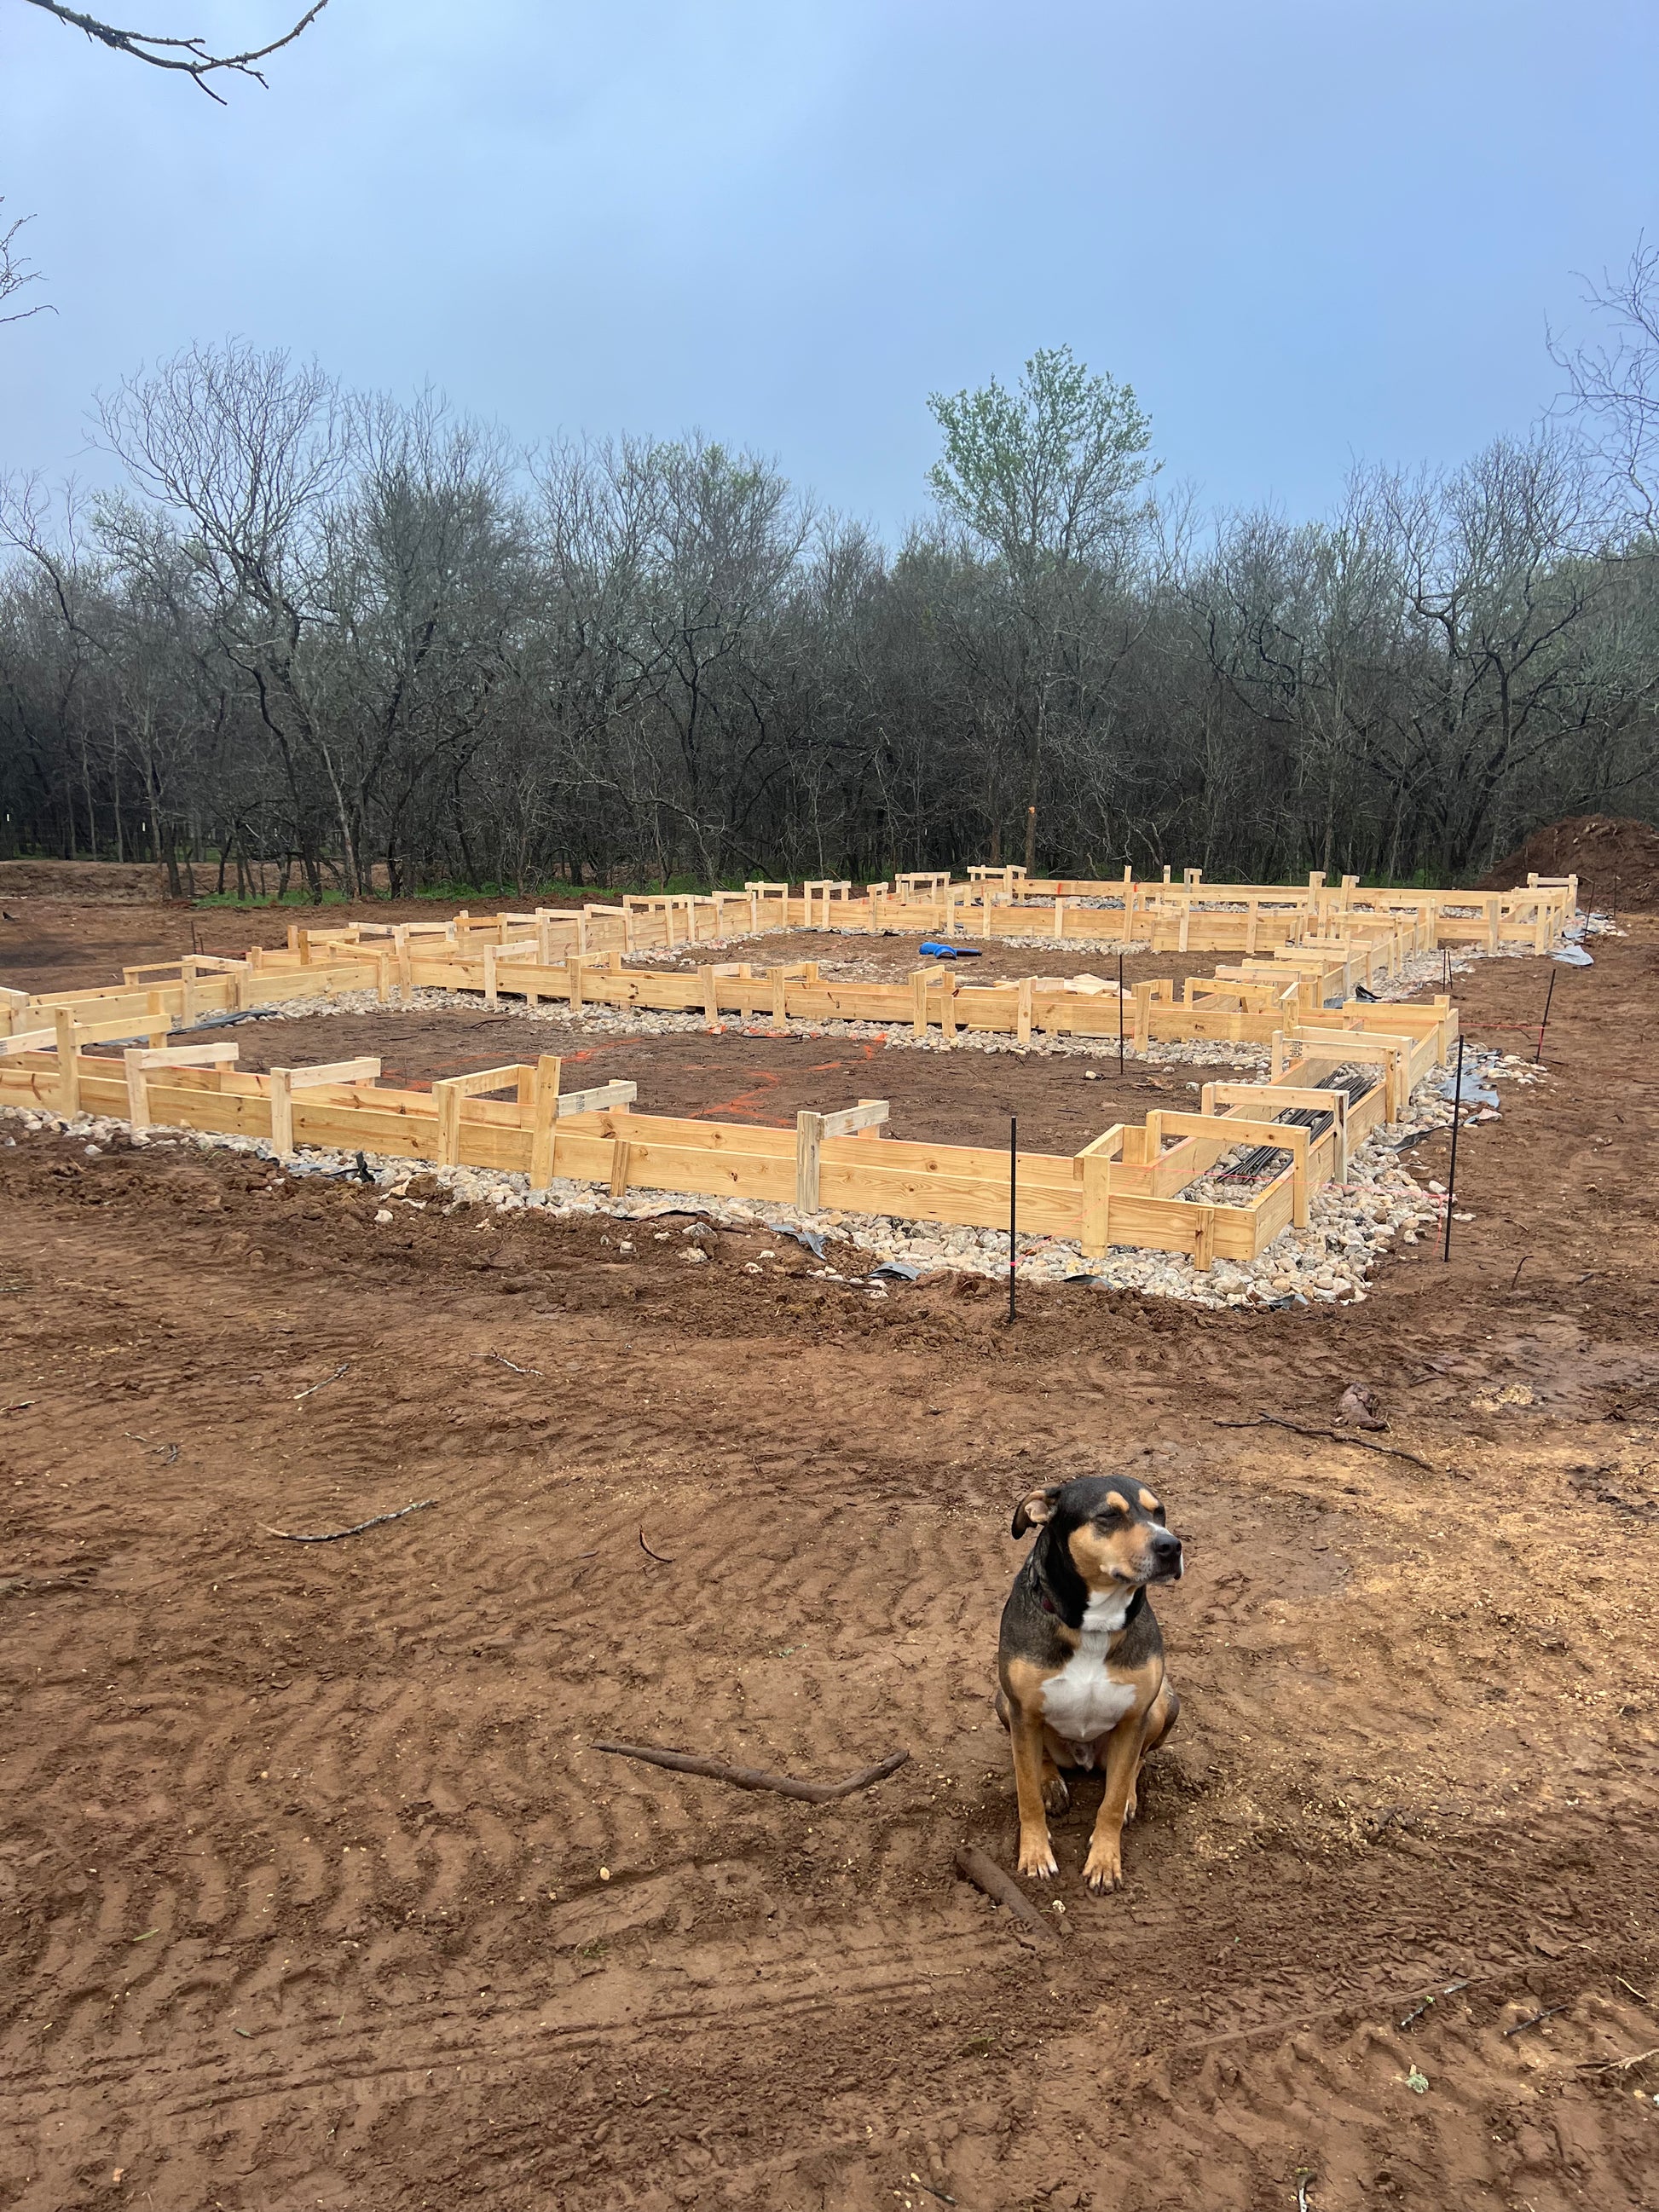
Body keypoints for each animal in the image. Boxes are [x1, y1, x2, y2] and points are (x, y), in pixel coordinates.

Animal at [995, 1477, 1185, 1893]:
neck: (1095, 1624)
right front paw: (1035, 1854)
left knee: (1136, 1762)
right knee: (1040, 1758)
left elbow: (1110, 1802)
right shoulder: (1022, 1712)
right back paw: (1051, 1781)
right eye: (1109, 1515)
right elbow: (1026, 1794)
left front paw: (1105, 1860)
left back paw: (1129, 1794)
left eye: (1159, 1512)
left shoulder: (1134, 1718)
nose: (1171, 1546)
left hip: (1164, 1704)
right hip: (1003, 1703)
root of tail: (1083, 1759)